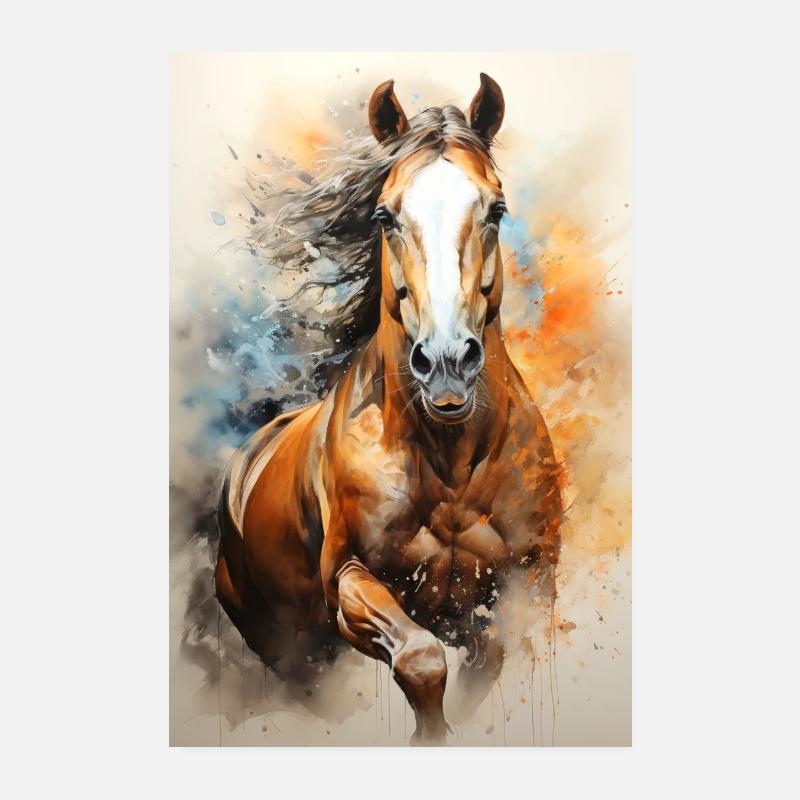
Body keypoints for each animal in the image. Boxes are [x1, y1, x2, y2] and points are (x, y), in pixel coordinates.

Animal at [215, 74, 563, 744]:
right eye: (384, 214)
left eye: (496, 209)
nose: (447, 361)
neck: (451, 462)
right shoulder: (350, 580)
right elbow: (422, 659)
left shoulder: (522, 589)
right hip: (289, 648)